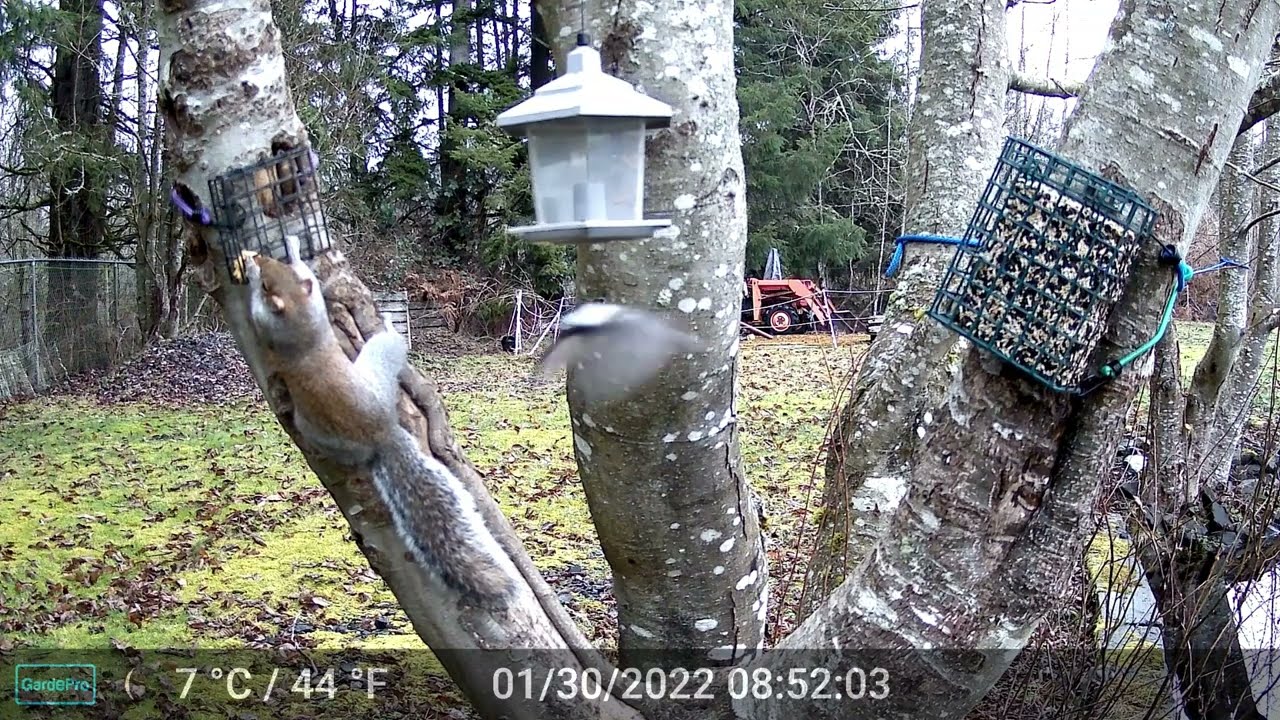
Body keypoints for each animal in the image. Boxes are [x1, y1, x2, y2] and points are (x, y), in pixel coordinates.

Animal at [242, 236, 516, 606]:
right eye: (272, 274)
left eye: (269, 282)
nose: (258, 259)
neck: (299, 319)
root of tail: (381, 430)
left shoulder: (283, 318)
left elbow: (260, 313)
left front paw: (281, 253)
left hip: (349, 390)